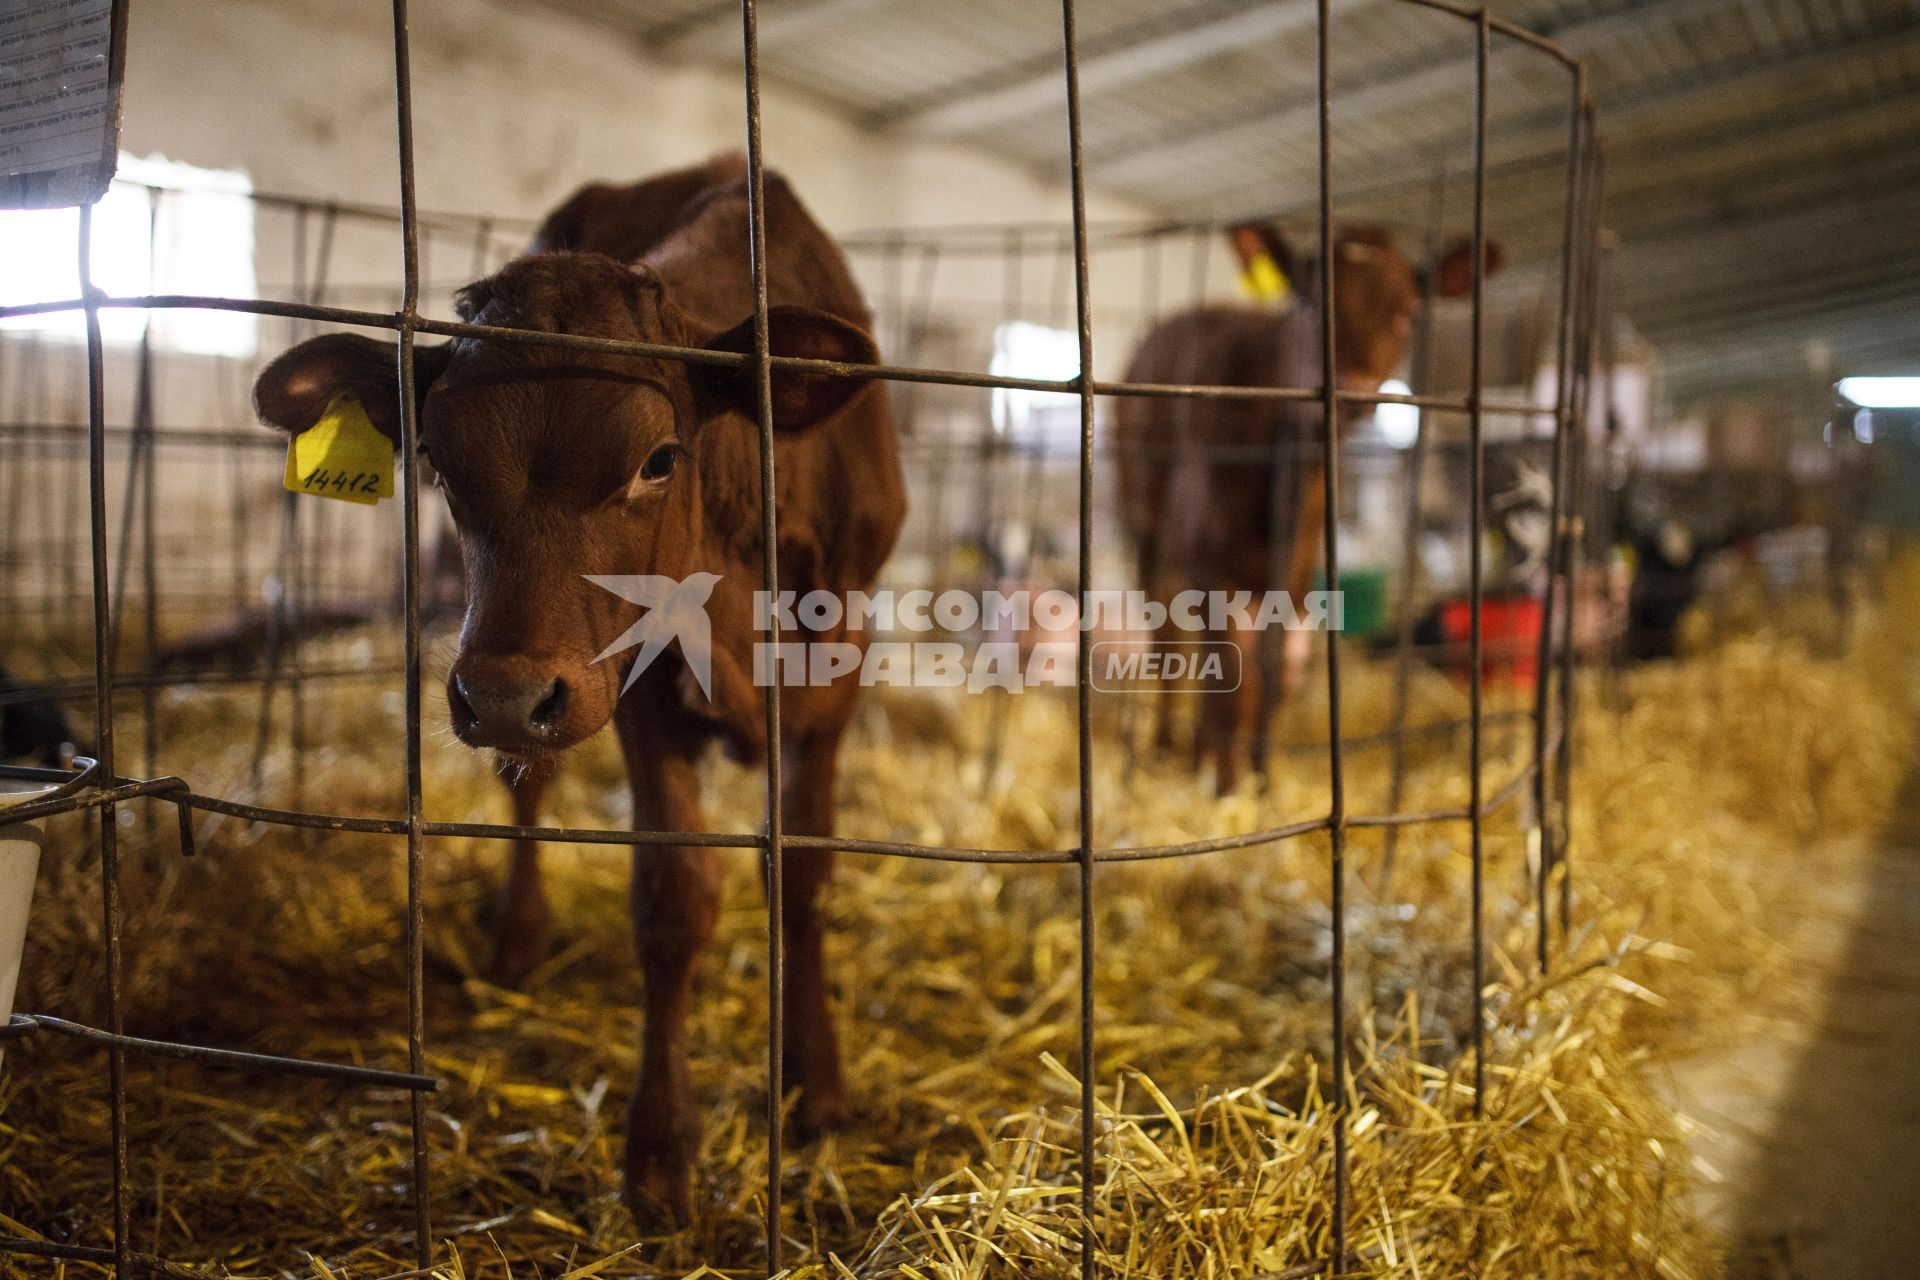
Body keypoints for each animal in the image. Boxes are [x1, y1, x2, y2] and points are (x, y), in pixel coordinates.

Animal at [251, 155, 902, 1228]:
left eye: (658, 459)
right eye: (436, 461)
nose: (503, 697)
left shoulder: (838, 669)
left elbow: (803, 875)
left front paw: (818, 1085)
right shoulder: (634, 683)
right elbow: (673, 901)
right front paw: (660, 1158)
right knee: (532, 785)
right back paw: (518, 937)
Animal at [1113, 225, 1497, 794]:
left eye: (1407, 311)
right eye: (1312, 302)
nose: (1351, 393)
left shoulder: (1297, 567)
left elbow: (1267, 674)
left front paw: (1260, 778)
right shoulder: (1207, 560)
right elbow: (1227, 673)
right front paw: (1227, 788)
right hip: (1149, 529)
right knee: (1170, 645)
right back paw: (1167, 749)